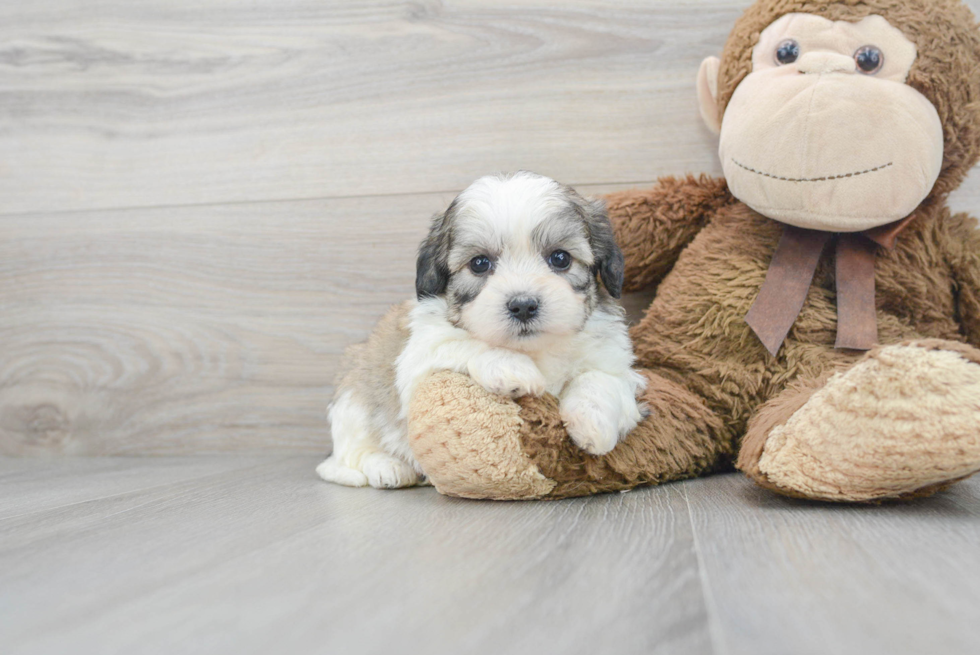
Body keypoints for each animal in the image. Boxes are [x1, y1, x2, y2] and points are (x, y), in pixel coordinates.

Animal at [318, 172, 648, 490]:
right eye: (479, 263)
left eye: (560, 258)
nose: (523, 305)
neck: (534, 349)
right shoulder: (419, 354)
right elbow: (466, 342)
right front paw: (512, 368)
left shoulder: (613, 359)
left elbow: (600, 378)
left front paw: (593, 421)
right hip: (354, 399)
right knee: (352, 452)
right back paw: (387, 467)